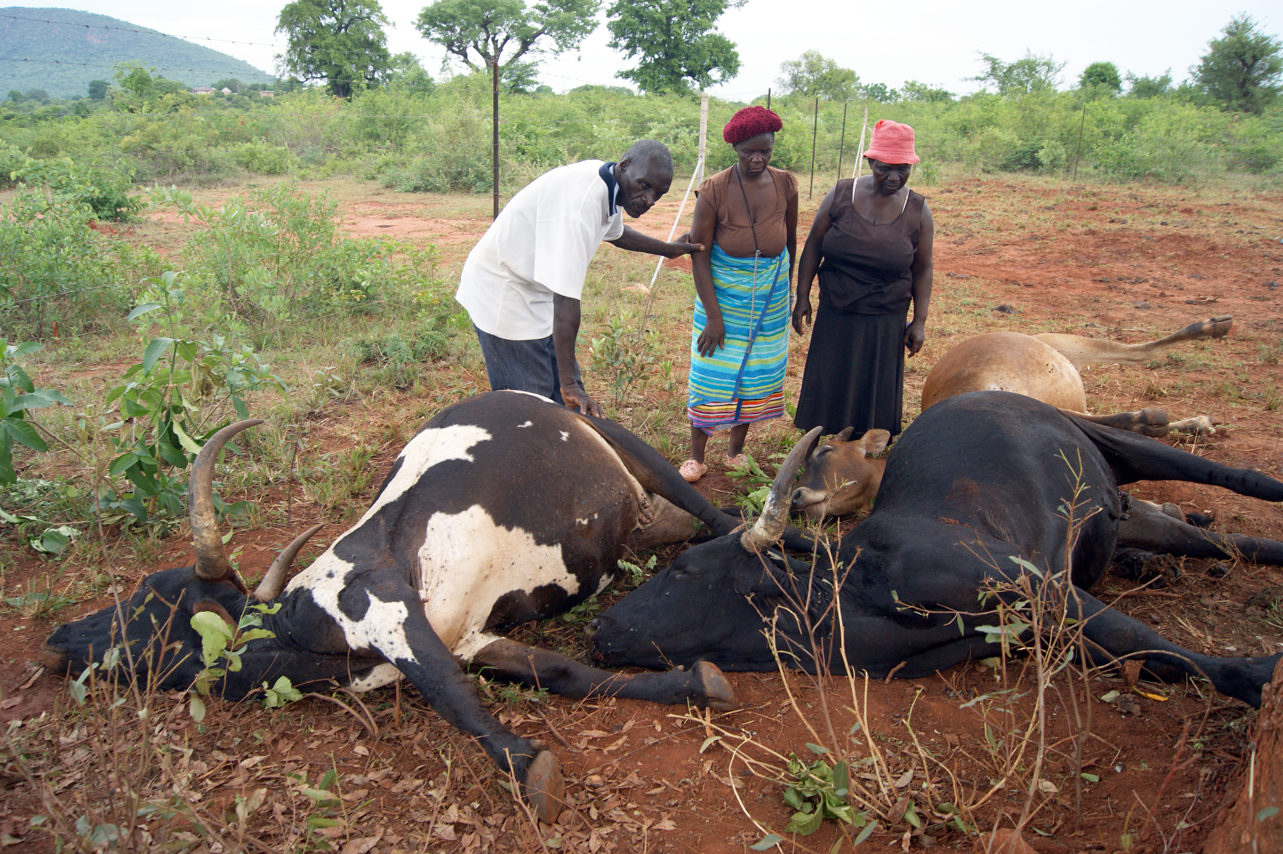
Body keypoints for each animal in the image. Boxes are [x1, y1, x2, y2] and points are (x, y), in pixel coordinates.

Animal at [43, 391, 743, 823]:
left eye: (150, 599)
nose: (59, 638)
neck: (297, 634)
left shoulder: (385, 609)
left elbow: (449, 695)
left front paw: (527, 766)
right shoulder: (473, 636)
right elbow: (565, 673)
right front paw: (692, 684)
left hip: (628, 446)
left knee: (712, 514)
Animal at [591, 391, 1283, 709]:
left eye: (685, 570)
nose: (601, 627)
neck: (859, 592)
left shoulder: (1039, 586)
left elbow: (1164, 647)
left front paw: (1260, 674)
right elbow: (1144, 653)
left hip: (1119, 443)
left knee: (1235, 478)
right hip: (1127, 516)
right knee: (1216, 539)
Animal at [790, 317, 1234, 520]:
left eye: (826, 451)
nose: (797, 498)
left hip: (1056, 352)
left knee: (1136, 358)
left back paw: (1210, 329)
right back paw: (1195, 420)